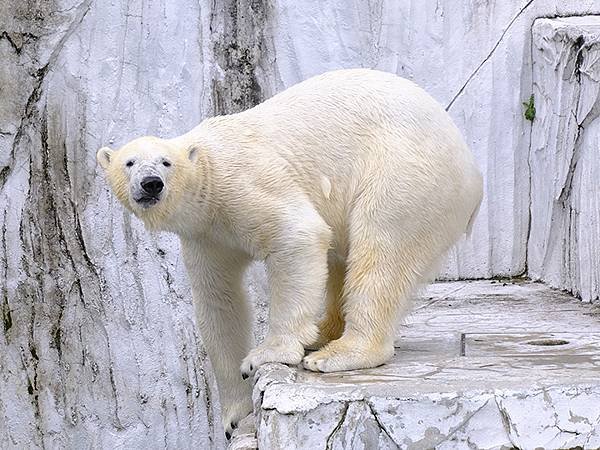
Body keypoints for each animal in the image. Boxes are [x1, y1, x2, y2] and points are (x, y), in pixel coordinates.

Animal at [97, 68, 482, 438]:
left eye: (165, 163)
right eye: (129, 163)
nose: (151, 184)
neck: (206, 181)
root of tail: (470, 168)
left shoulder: (242, 185)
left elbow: (298, 235)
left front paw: (266, 354)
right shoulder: (206, 236)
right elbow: (219, 301)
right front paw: (235, 416)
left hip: (406, 175)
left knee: (381, 250)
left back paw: (338, 353)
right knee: (342, 260)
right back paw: (324, 331)